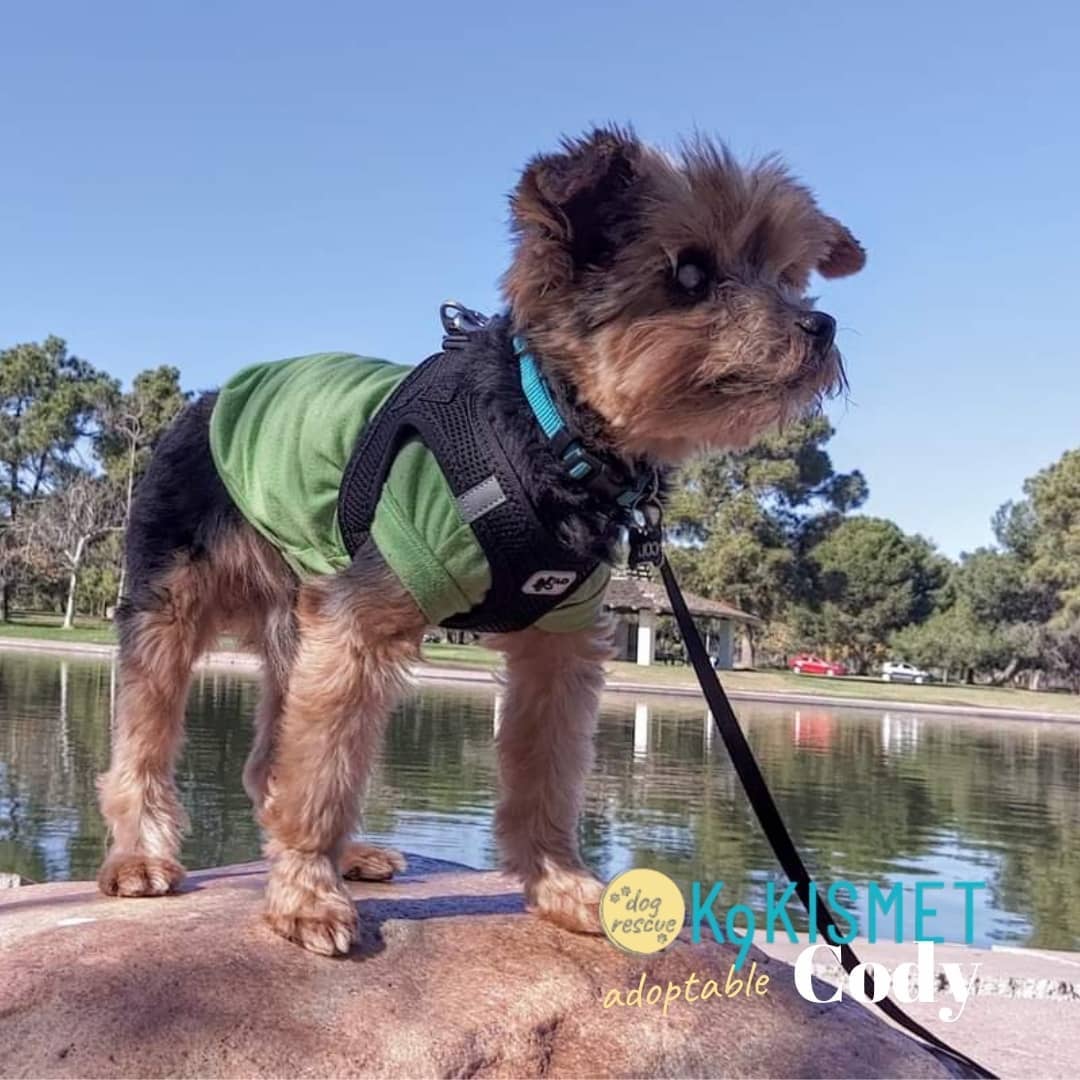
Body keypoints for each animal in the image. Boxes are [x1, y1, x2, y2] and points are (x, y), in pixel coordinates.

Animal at [97, 126, 864, 954]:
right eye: (689, 273)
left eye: (786, 277)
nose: (820, 326)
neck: (549, 433)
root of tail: (203, 401)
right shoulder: (359, 621)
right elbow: (324, 774)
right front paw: (306, 895)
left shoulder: (558, 640)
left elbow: (545, 776)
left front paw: (562, 886)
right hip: (172, 602)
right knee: (148, 738)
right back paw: (142, 858)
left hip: (297, 611)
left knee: (274, 760)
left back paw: (351, 854)